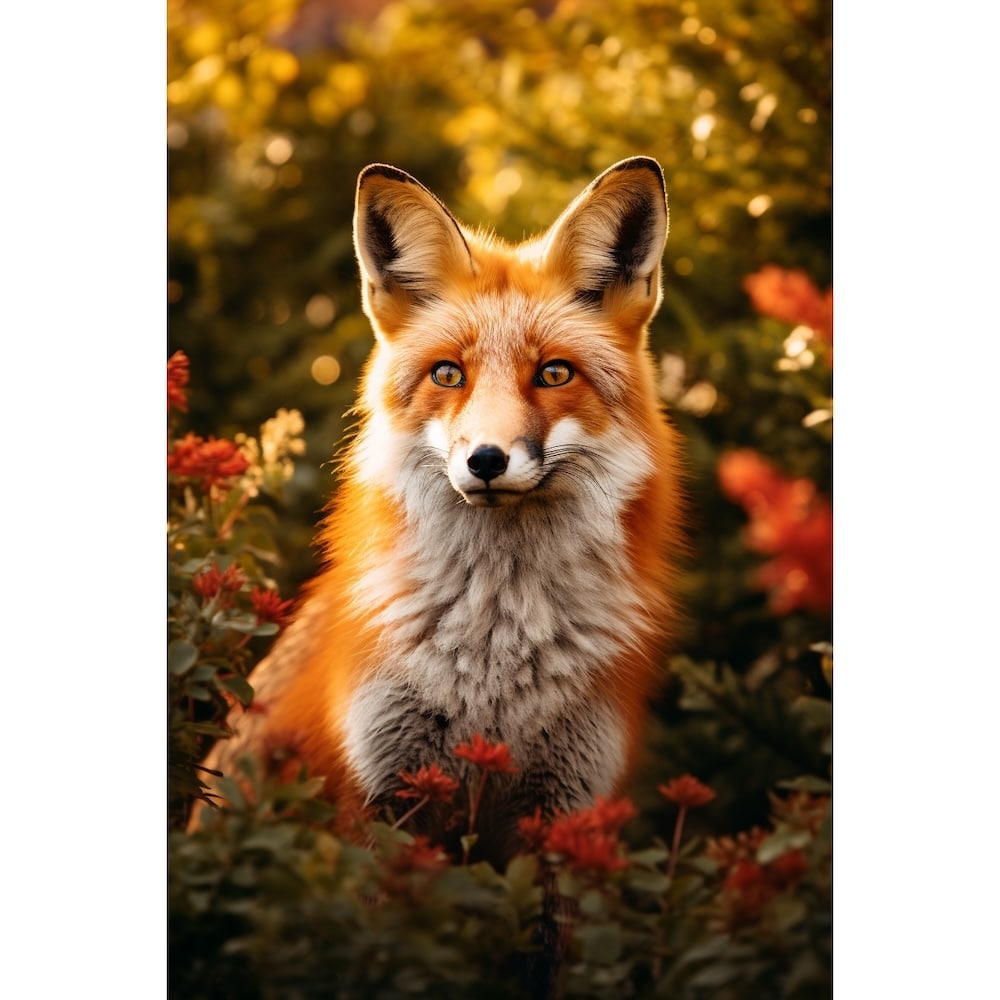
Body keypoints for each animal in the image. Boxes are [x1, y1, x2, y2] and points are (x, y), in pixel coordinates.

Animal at [193, 156, 685, 867]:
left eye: (554, 373)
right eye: (448, 375)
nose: (486, 460)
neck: (496, 647)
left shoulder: (566, 807)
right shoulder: (380, 789)